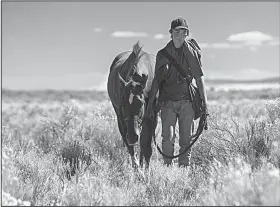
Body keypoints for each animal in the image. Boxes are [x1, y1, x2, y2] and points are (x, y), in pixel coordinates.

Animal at [106, 40, 156, 168]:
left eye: (141, 103)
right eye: (122, 104)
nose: (133, 137)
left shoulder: (151, 116)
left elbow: (146, 144)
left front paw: (146, 169)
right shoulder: (121, 116)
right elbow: (129, 144)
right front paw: (137, 167)